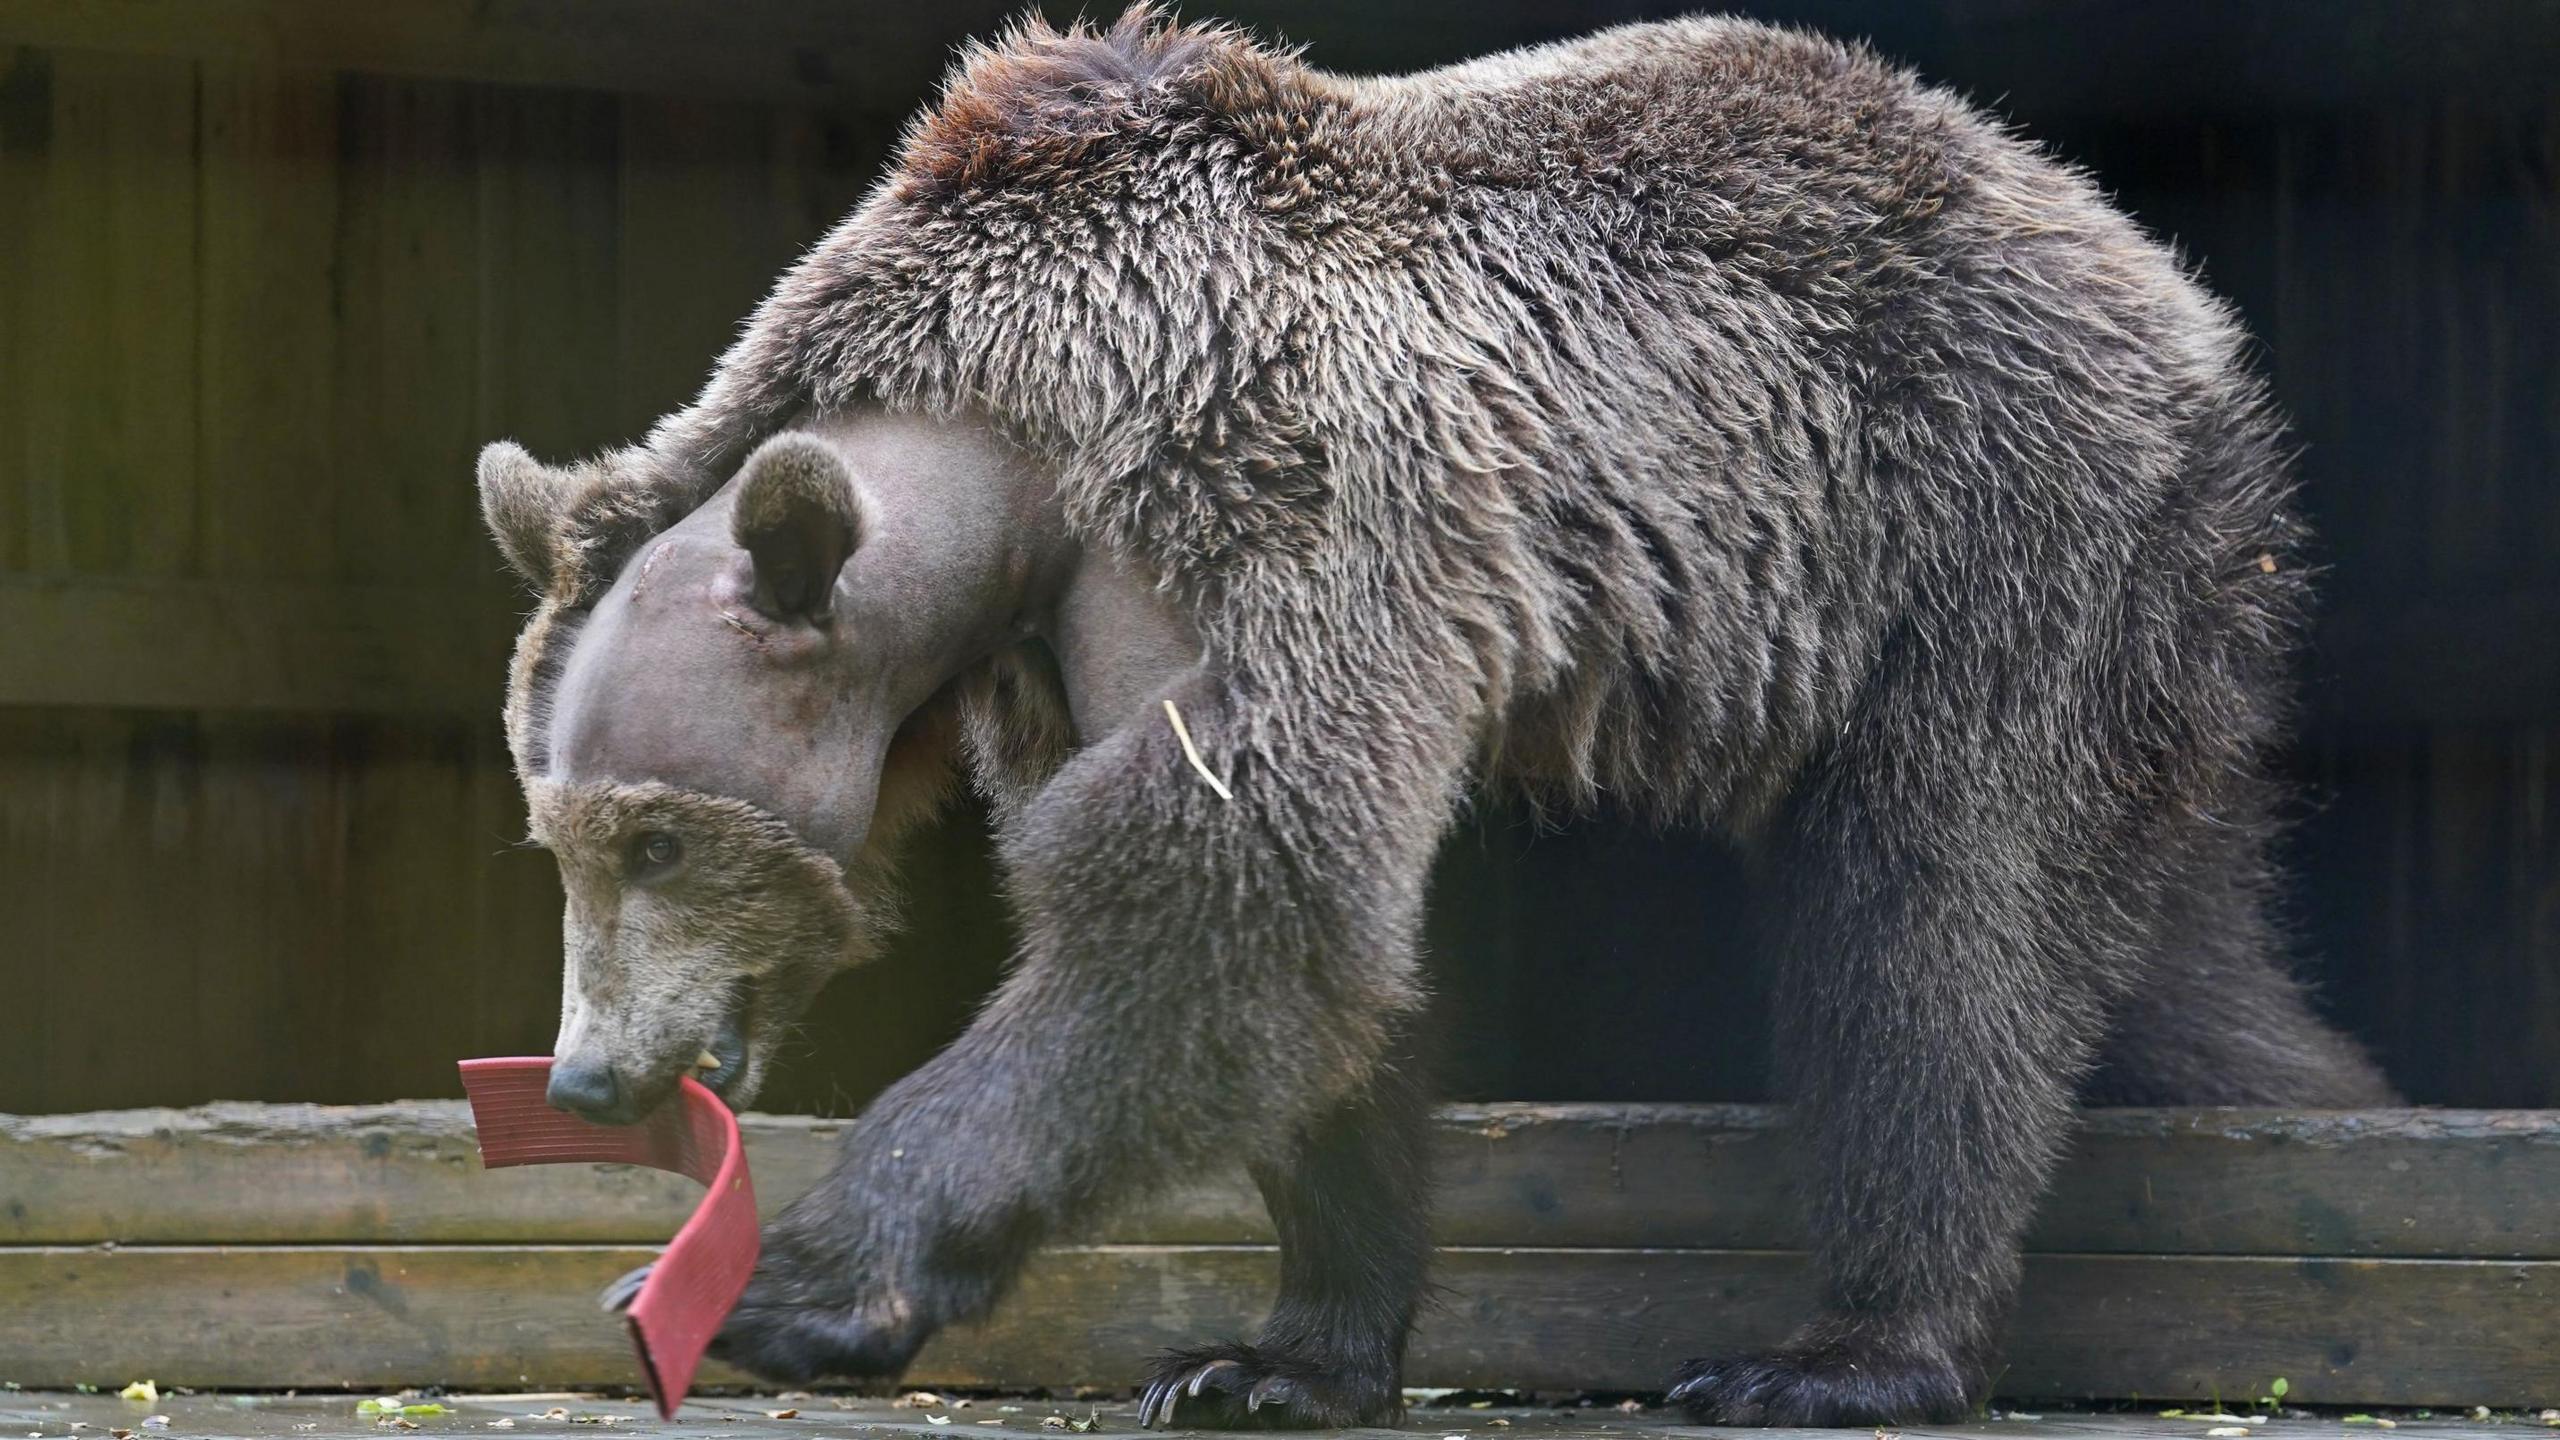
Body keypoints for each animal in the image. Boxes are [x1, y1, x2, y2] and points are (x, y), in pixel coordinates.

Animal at [476, 8, 2396, 1424]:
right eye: (552, 838)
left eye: (656, 840)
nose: (589, 1076)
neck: (1015, 449)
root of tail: (2161, 286)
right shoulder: (1093, 650)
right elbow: (1314, 959)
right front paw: (1272, 1356)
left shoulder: (1271, 490)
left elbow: (1227, 898)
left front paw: (789, 1284)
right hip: (2133, 622)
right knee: (2174, 955)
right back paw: (2314, 1104)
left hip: (1982, 531)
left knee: (1944, 922)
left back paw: (1840, 1351)